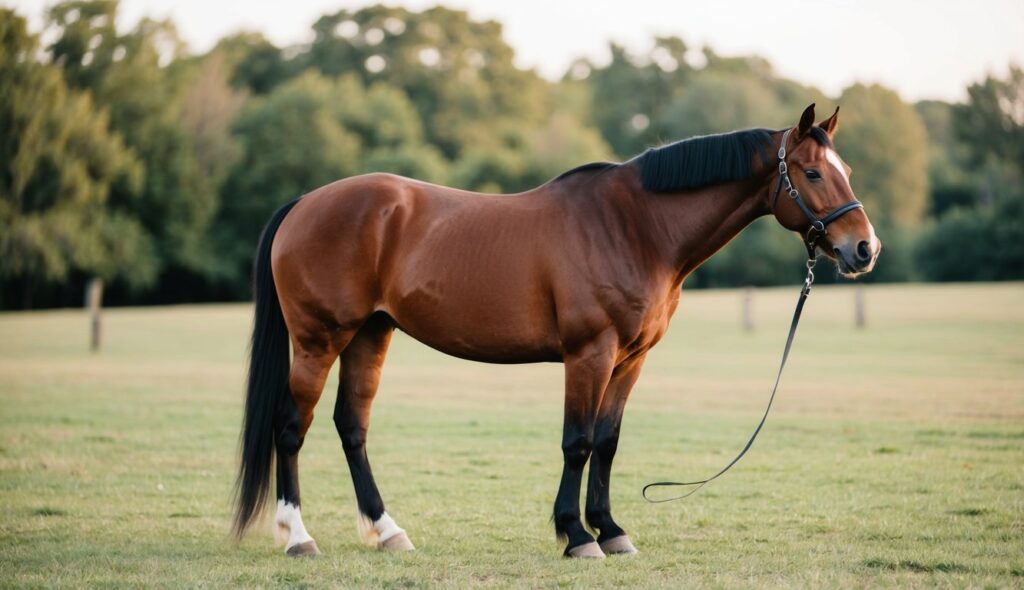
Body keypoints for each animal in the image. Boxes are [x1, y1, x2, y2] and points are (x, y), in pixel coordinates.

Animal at [232, 103, 880, 561]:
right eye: (812, 172)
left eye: (847, 170)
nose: (864, 249)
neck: (634, 226)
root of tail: (305, 203)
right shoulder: (589, 354)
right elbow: (578, 442)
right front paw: (577, 536)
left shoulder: (630, 360)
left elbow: (608, 442)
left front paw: (611, 530)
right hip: (319, 339)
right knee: (290, 427)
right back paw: (298, 537)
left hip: (371, 334)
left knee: (352, 427)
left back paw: (388, 532)